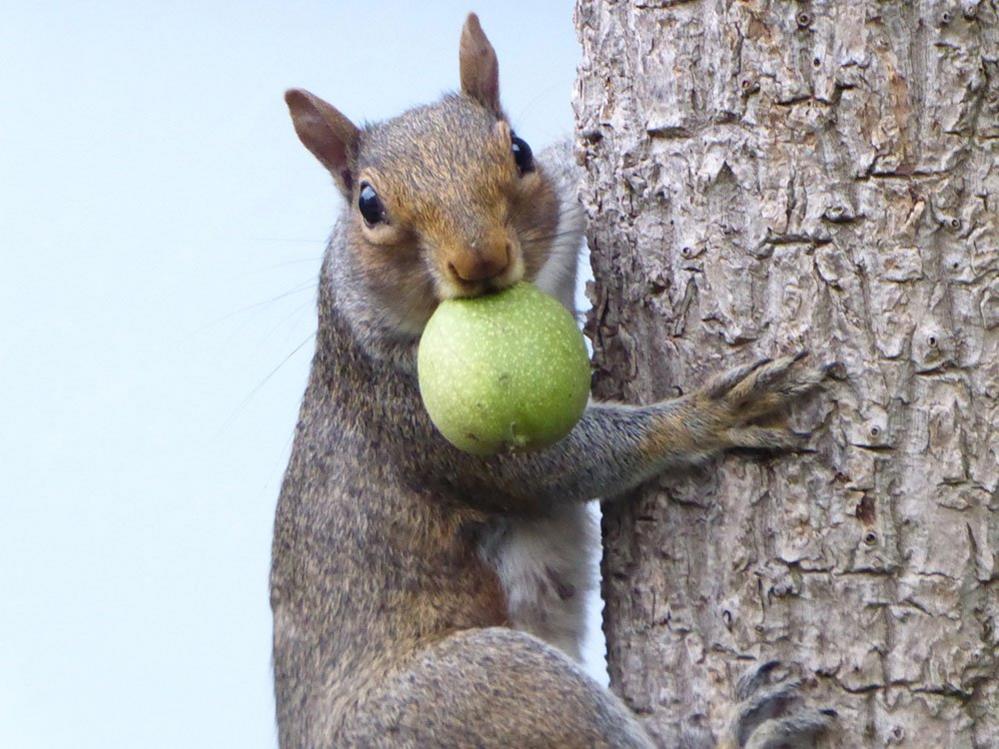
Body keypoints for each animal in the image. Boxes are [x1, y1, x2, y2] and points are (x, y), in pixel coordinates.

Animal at [272, 11, 836, 748]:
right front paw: (705, 415)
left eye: (518, 151)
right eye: (368, 204)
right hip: (492, 690)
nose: (479, 259)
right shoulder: (415, 422)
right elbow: (564, 464)